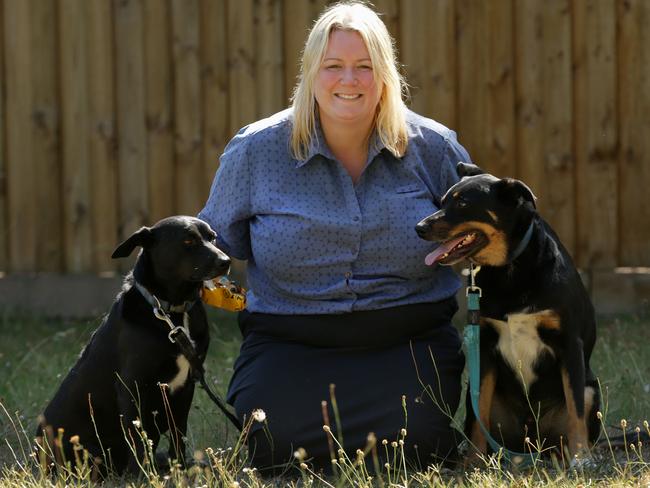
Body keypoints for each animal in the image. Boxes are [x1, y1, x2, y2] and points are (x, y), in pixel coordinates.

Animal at [36, 215, 230, 474]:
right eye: (188, 240)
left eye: (213, 237)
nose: (226, 262)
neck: (171, 312)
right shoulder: (132, 387)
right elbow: (138, 438)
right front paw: (143, 475)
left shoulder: (186, 386)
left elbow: (178, 434)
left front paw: (180, 469)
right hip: (89, 451)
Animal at [416, 163, 596, 462]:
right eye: (442, 201)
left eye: (463, 203)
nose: (419, 228)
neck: (510, 268)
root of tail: (531, 437)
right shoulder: (485, 347)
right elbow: (480, 415)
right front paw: (474, 461)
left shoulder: (570, 344)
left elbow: (576, 409)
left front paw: (581, 459)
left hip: (591, 387)